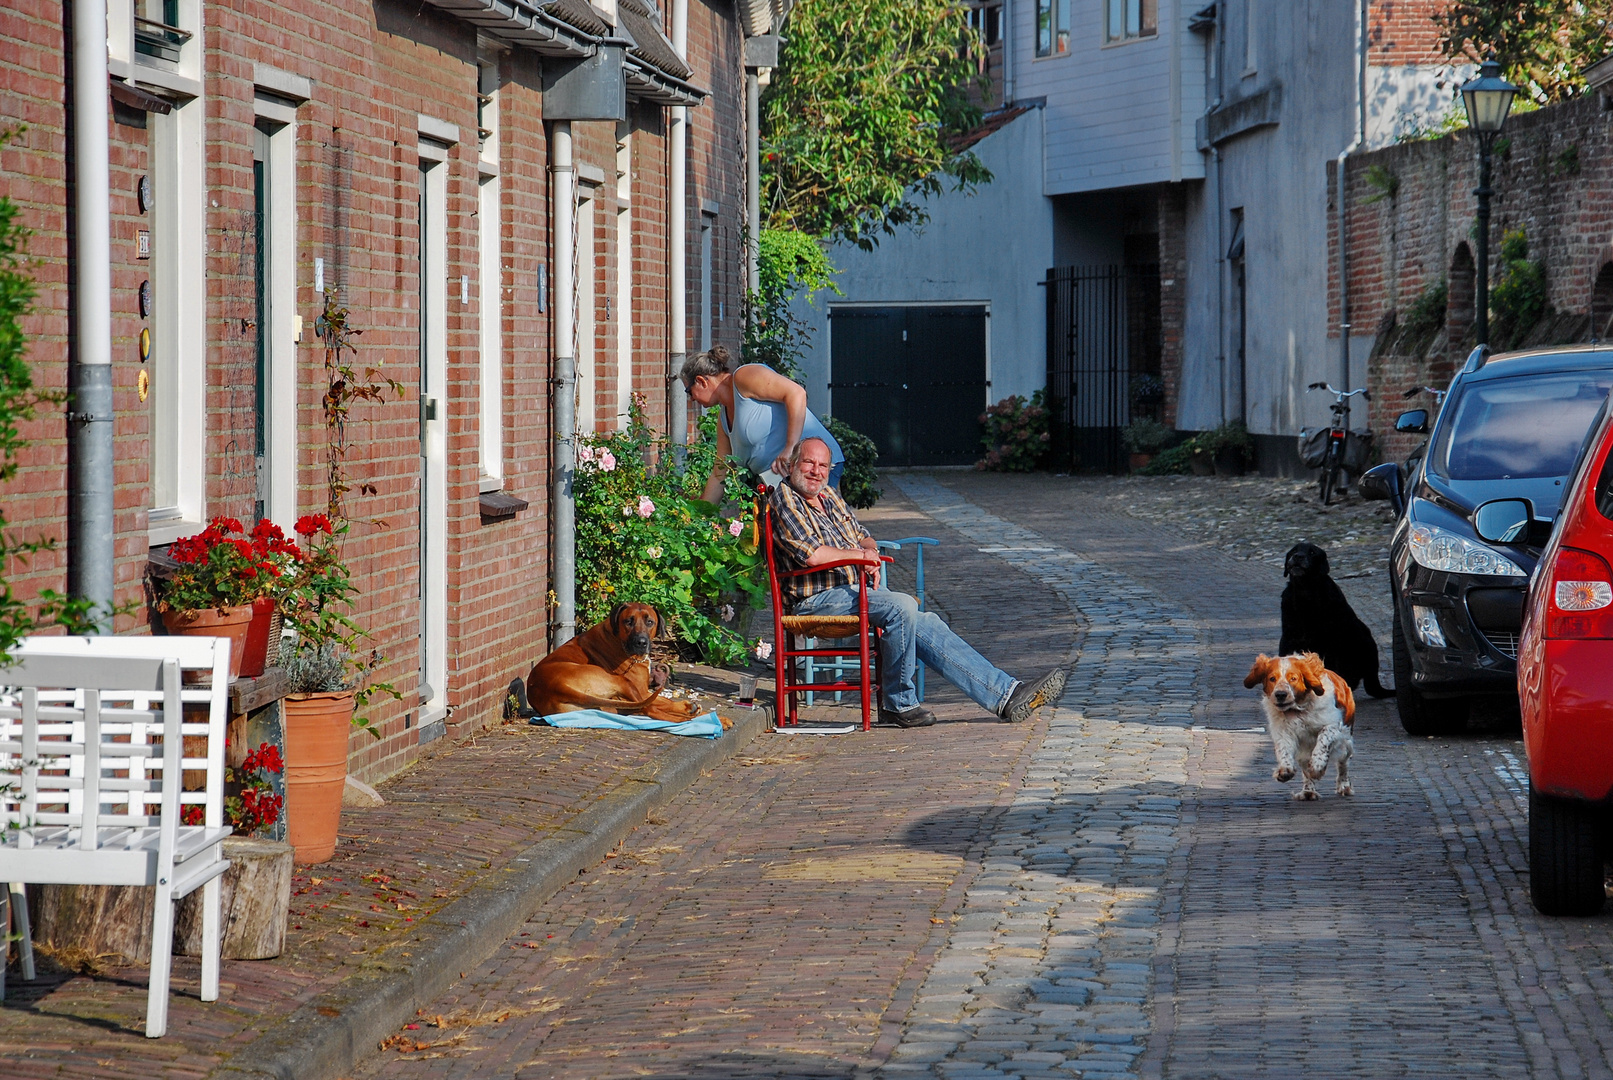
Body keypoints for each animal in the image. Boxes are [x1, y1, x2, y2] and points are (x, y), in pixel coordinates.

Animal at [522, 606, 732, 731]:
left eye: (650, 622)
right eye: (628, 621)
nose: (641, 642)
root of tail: (556, 686)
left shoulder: (641, 692)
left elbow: (664, 701)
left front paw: (688, 707)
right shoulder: (640, 689)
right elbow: (658, 703)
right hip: (618, 680)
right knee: (651, 711)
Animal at [1238, 654, 1354, 799]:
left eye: (1293, 678)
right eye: (1272, 678)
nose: (1280, 694)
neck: (1297, 709)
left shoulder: (1333, 725)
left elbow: (1323, 740)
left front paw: (1317, 766)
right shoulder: (1283, 731)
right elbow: (1284, 751)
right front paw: (1285, 771)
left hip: (1346, 743)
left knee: (1343, 764)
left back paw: (1344, 786)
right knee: (1306, 769)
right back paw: (1308, 791)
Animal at [1277, 544, 1393, 699]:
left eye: (1312, 552)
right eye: (1294, 550)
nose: (1298, 556)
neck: (1305, 592)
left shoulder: (1330, 642)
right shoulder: (1288, 637)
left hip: (1362, 636)